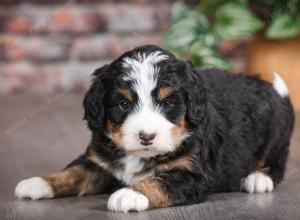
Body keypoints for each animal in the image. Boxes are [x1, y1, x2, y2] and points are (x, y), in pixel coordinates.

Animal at [15, 45, 294, 213]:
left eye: (168, 103)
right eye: (123, 104)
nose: (146, 137)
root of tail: (276, 93)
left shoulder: (194, 174)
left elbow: (160, 181)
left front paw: (130, 194)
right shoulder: (99, 161)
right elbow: (73, 172)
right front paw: (38, 183)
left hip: (276, 135)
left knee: (277, 162)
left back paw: (258, 178)